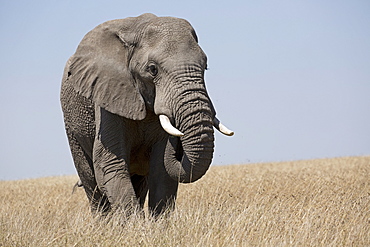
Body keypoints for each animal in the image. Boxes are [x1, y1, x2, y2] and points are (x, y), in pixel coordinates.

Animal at [60, 13, 234, 216]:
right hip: (72, 126)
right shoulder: (108, 96)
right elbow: (110, 163)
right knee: (91, 181)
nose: (177, 139)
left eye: (205, 66)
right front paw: (134, 225)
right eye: (153, 69)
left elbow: (162, 172)